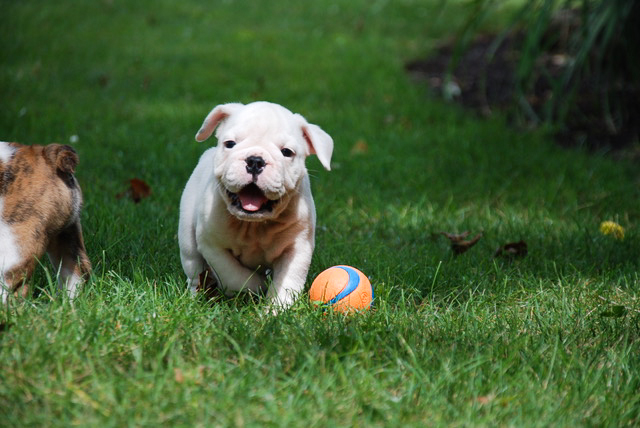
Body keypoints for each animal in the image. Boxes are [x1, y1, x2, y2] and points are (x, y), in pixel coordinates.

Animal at [178, 101, 332, 308]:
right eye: (230, 144)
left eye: (287, 152)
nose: (255, 160)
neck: (254, 225)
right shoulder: (212, 245)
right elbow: (234, 275)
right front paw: (256, 286)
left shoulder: (296, 248)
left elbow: (288, 281)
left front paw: (277, 308)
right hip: (188, 240)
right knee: (194, 271)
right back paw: (196, 297)